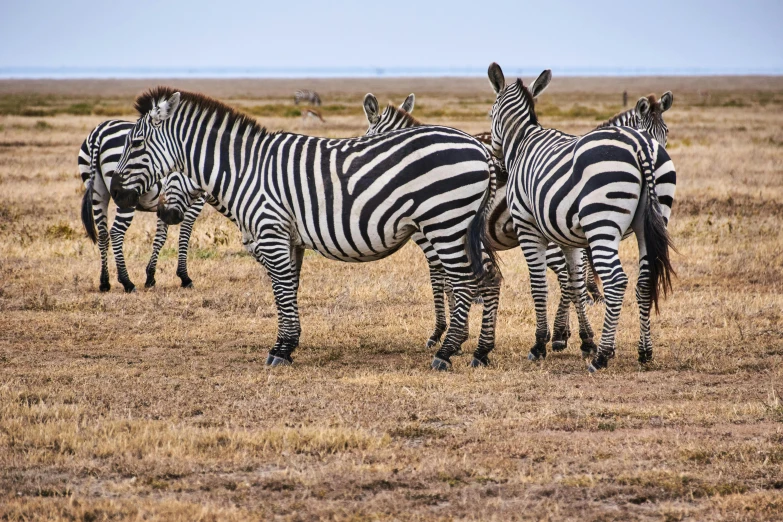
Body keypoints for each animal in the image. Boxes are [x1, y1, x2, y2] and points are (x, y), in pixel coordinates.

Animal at [79, 119, 208, 292]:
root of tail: (98, 133)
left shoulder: (166, 205)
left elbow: (160, 237)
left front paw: (150, 276)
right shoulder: (193, 198)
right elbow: (184, 235)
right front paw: (184, 277)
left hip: (97, 192)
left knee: (103, 234)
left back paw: (105, 282)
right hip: (126, 194)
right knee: (116, 232)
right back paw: (127, 282)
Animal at [108, 86, 502, 370]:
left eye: (136, 143)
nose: (116, 193)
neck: (245, 172)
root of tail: (479, 148)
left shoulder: (271, 232)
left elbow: (282, 290)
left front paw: (280, 350)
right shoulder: (289, 240)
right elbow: (288, 290)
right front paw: (289, 344)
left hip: (446, 222)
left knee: (465, 281)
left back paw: (447, 353)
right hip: (460, 227)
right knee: (487, 278)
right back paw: (480, 352)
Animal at [486, 63, 676, 370]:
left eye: (491, 114)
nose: (498, 161)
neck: (523, 141)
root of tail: (642, 146)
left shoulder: (529, 227)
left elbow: (539, 285)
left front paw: (540, 343)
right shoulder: (568, 236)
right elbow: (574, 282)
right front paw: (581, 339)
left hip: (602, 223)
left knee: (616, 280)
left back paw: (602, 356)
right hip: (651, 221)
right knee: (644, 280)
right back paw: (644, 352)